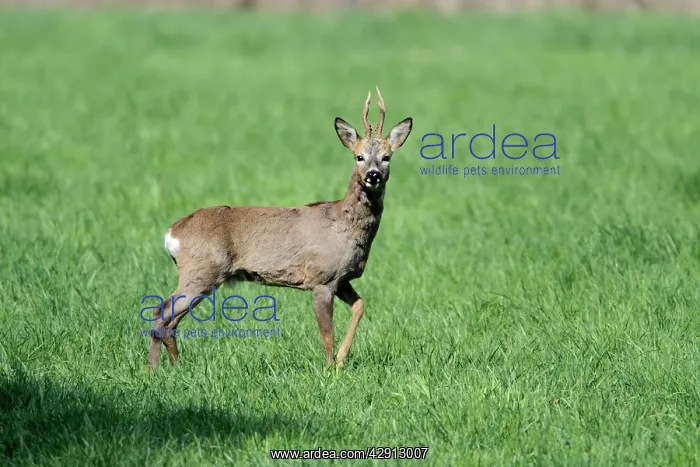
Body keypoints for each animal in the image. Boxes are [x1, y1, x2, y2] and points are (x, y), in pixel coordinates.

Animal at [148, 88, 413, 371]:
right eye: (359, 157)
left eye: (386, 157)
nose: (373, 175)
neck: (345, 226)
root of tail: (172, 234)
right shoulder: (321, 277)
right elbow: (326, 331)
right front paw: (329, 368)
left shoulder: (341, 279)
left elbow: (360, 306)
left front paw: (341, 360)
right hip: (200, 272)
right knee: (160, 313)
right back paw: (152, 371)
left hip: (201, 277)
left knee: (171, 320)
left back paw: (174, 366)